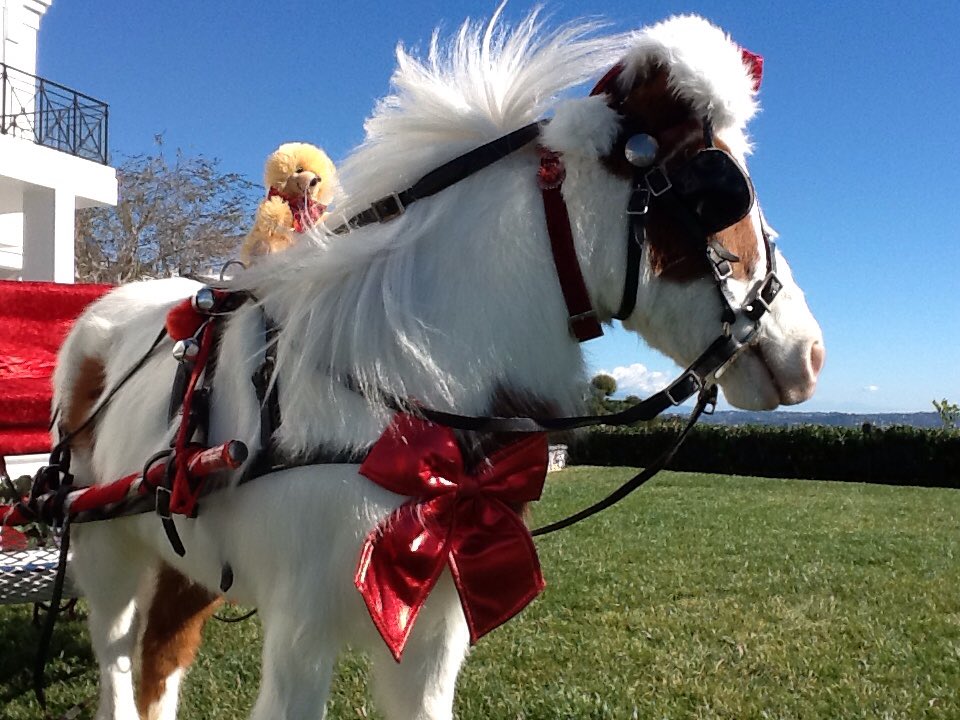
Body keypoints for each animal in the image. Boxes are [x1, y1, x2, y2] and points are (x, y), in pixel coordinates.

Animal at [52, 11, 824, 720]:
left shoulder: (435, 626)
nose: (810, 352)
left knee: (159, 664)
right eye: (719, 189)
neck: (394, 395)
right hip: (102, 544)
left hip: (186, 562)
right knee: (118, 659)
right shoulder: (301, 629)